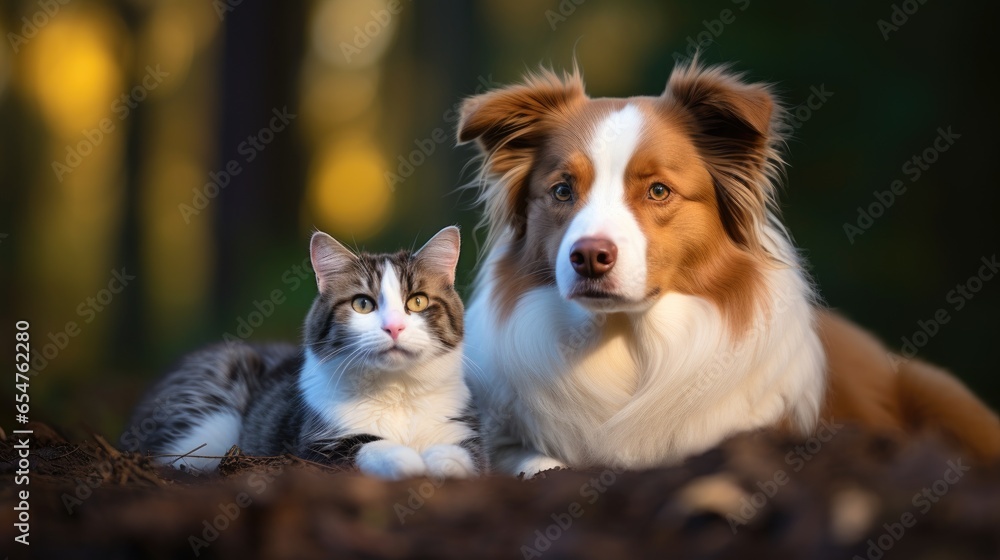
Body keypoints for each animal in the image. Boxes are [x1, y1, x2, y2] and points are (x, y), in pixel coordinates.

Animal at [125, 225, 484, 480]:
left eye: (418, 301)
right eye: (362, 304)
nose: (394, 327)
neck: (397, 392)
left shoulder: (463, 428)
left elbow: (464, 453)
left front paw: (442, 462)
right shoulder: (318, 445)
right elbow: (369, 445)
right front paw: (407, 459)